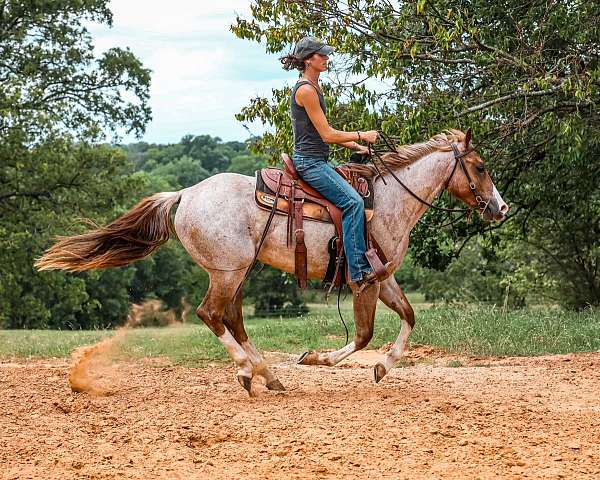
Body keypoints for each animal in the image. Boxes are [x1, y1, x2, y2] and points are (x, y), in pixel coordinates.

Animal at [35, 128, 508, 394]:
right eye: (481, 167)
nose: (500, 208)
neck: (389, 199)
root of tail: (185, 194)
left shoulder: (384, 276)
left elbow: (408, 317)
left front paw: (381, 368)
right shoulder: (365, 280)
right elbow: (363, 334)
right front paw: (316, 360)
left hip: (237, 272)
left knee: (232, 319)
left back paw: (267, 376)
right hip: (228, 272)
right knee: (211, 314)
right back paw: (250, 371)